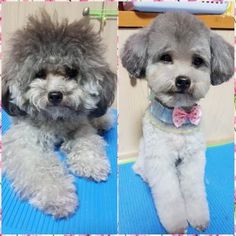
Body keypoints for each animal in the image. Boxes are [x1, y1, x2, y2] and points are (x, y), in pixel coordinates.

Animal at [1, 10, 116, 218]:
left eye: (71, 72)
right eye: (39, 74)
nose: (55, 95)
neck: (54, 119)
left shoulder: (80, 126)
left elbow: (88, 142)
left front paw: (92, 163)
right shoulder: (24, 141)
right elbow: (41, 168)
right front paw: (58, 196)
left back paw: (103, 120)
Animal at [121, 11, 234, 232]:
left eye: (197, 61)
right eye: (166, 58)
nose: (183, 80)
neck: (177, 120)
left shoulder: (193, 158)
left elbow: (194, 190)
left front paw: (199, 218)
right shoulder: (160, 159)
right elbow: (169, 196)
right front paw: (177, 225)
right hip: (144, 155)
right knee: (140, 169)